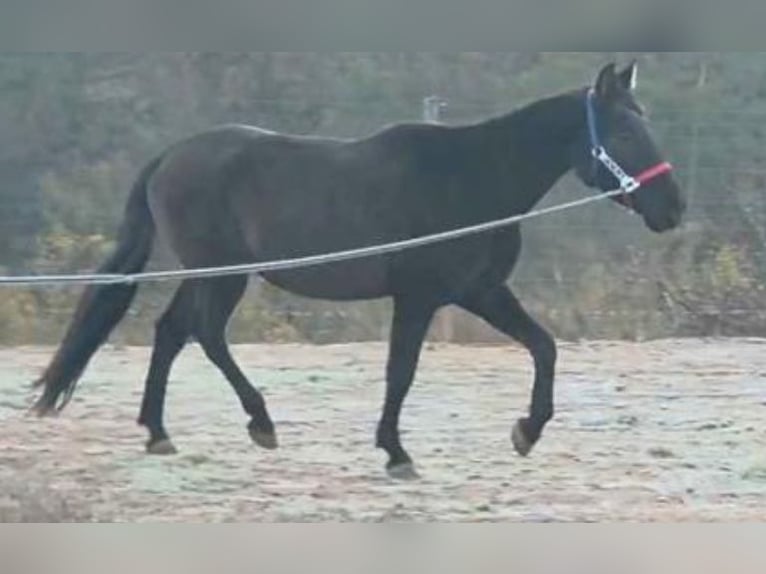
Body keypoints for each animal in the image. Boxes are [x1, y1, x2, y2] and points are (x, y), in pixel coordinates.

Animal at [33, 62, 685, 479]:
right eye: (625, 130)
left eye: (648, 121)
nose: (673, 208)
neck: (472, 178)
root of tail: (171, 155)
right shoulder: (418, 297)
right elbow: (401, 372)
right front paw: (397, 453)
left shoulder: (481, 291)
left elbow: (544, 346)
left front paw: (527, 430)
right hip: (222, 274)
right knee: (203, 335)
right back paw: (257, 422)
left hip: (214, 275)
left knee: (173, 333)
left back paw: (160, 432)